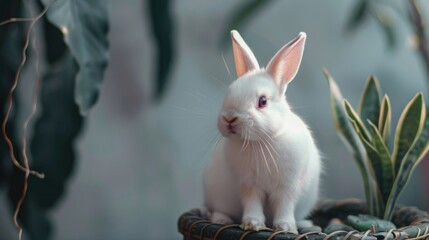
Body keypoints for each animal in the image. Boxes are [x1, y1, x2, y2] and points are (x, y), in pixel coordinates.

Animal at [204, 29, 320, 232]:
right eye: (228, 91)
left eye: (263, 101)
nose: (229, 118)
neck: (261, 142)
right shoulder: (248, 183)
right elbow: (252, 202)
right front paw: (252, 224)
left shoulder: (287, 185)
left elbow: (284, 205)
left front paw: (285, 227)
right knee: (218, 210)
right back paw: (221, 220)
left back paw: (306, 224)